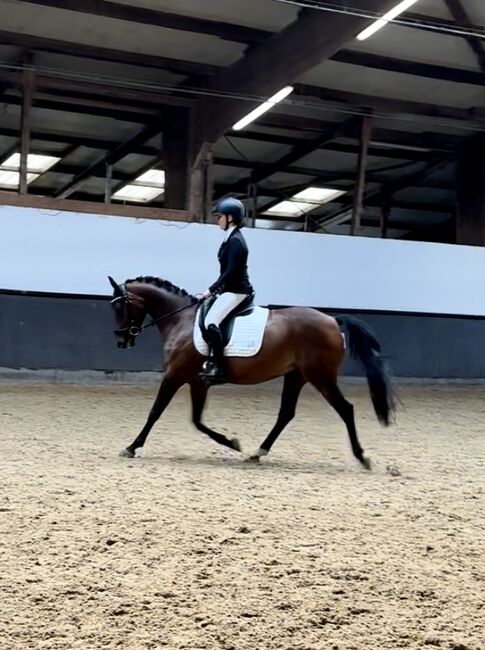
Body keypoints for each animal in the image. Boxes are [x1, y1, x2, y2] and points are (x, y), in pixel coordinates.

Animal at [108, 274, 394, 466]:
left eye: (118, 306)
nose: (121, 340)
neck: (182, 320)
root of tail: (333, 321)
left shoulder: (174, 376)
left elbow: (155, 412)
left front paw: (131, 447)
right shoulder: (198, 381)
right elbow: (197, 420)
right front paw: (232, 443)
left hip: (320, 376)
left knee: (345, 409)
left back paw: (362, 457)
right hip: (297, 376)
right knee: (286, 414)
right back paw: (257, 453)